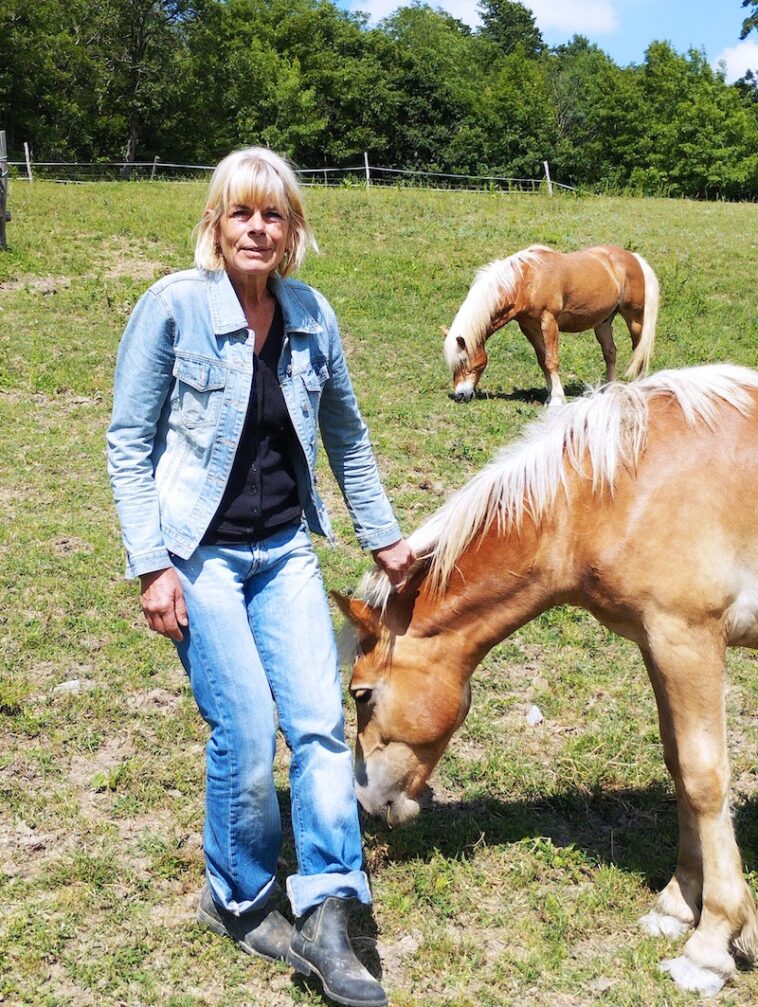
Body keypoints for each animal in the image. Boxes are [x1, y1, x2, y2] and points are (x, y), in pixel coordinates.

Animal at [335, 363, 758, 997]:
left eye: (361, 694)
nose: (366, 802)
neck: (613, 489)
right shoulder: (657, 644)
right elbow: (679, 766)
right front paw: (677, 906)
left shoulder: (689, 640)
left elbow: (705, 780)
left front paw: (709, 948)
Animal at [442, 244, 660, 409]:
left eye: (463, 359)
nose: (460, 395)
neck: (526, 280)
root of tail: (634, 258)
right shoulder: (529, 327)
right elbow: (542, 360)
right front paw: (549, 397)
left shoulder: (549, 322)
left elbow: (551, 360)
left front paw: (556, 399)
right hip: (603, 323)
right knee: (610, 353)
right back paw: (607, 390)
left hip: (635, 319)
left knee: (639, 351)